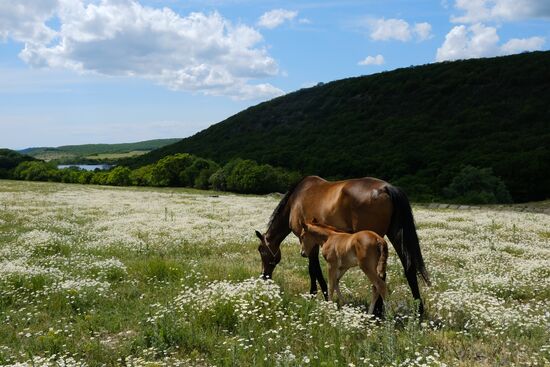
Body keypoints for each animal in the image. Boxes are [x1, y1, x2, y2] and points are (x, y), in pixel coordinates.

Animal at [256, 175, 434, 316]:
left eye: (261, 250)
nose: (264, 276)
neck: (296, 199)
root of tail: (387, 188)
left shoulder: (308, 243)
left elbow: (313, 269)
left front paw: (316, 294)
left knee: (380, 280)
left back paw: (378, 312)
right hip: (396, 235)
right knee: (408, 268)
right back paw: (418, 311)